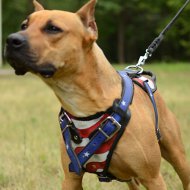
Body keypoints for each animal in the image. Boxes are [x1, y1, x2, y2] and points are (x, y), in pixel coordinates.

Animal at [4, 0, 190, 190]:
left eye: (53, 28)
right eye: (24, 26)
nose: (11, 39)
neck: (85, 105)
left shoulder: (152, 178)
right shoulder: (71, 178)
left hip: (177, 155)